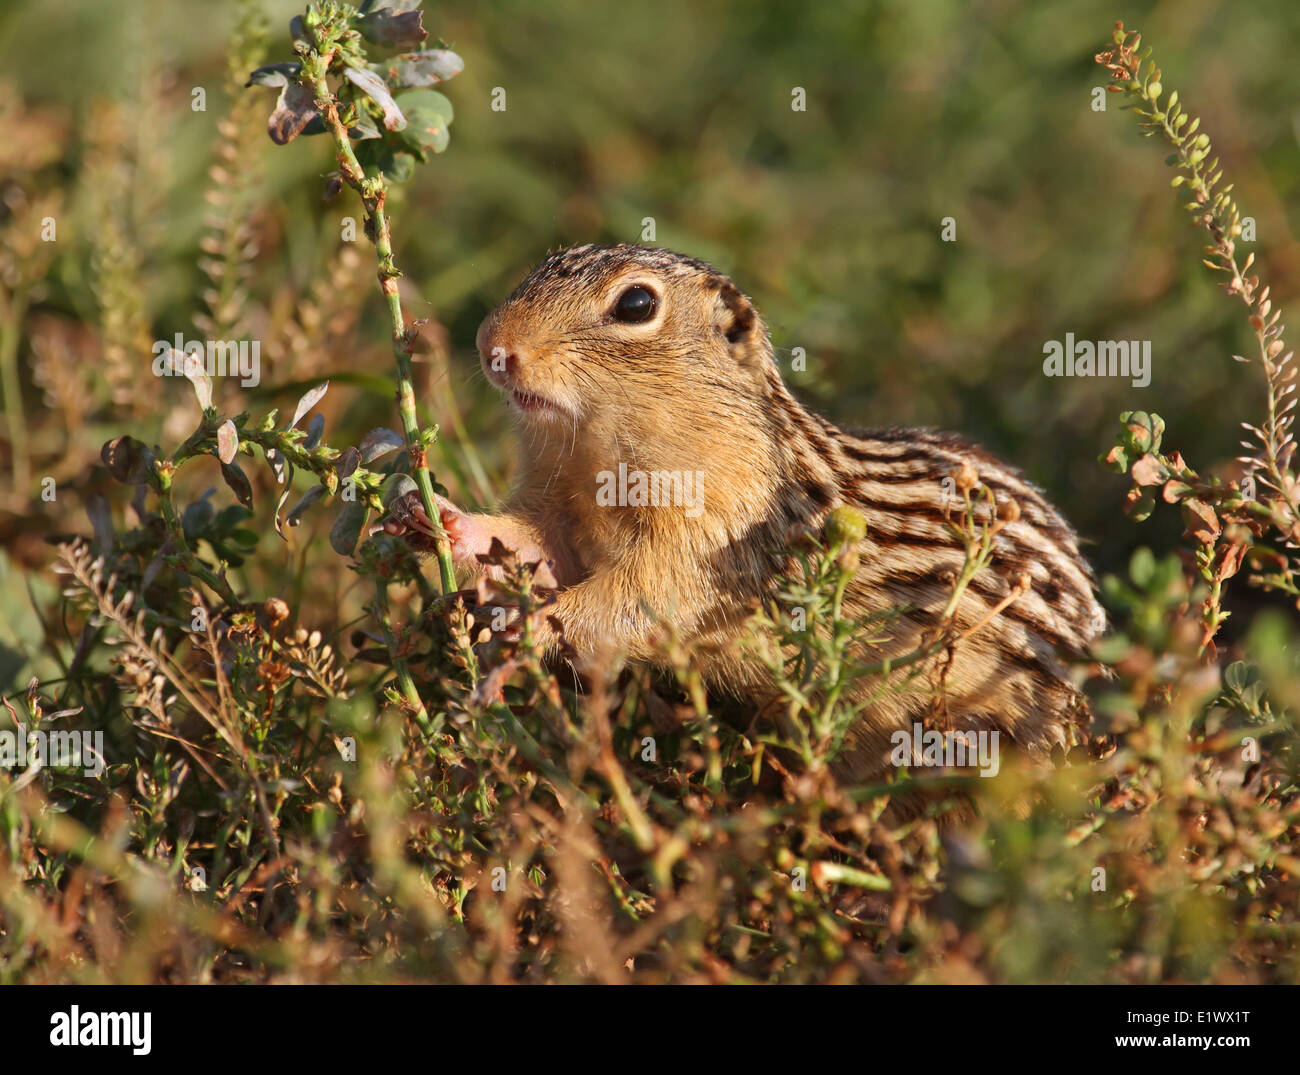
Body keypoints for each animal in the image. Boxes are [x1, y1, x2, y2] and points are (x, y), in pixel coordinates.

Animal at [379, 244, 1102, 779]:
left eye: (636, 304)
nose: (489, 344)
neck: (598, 451)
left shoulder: (708, 549)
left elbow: (627, 600)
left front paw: (520, 632)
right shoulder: (563, 517)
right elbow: (530, 545)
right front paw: (438, 516)